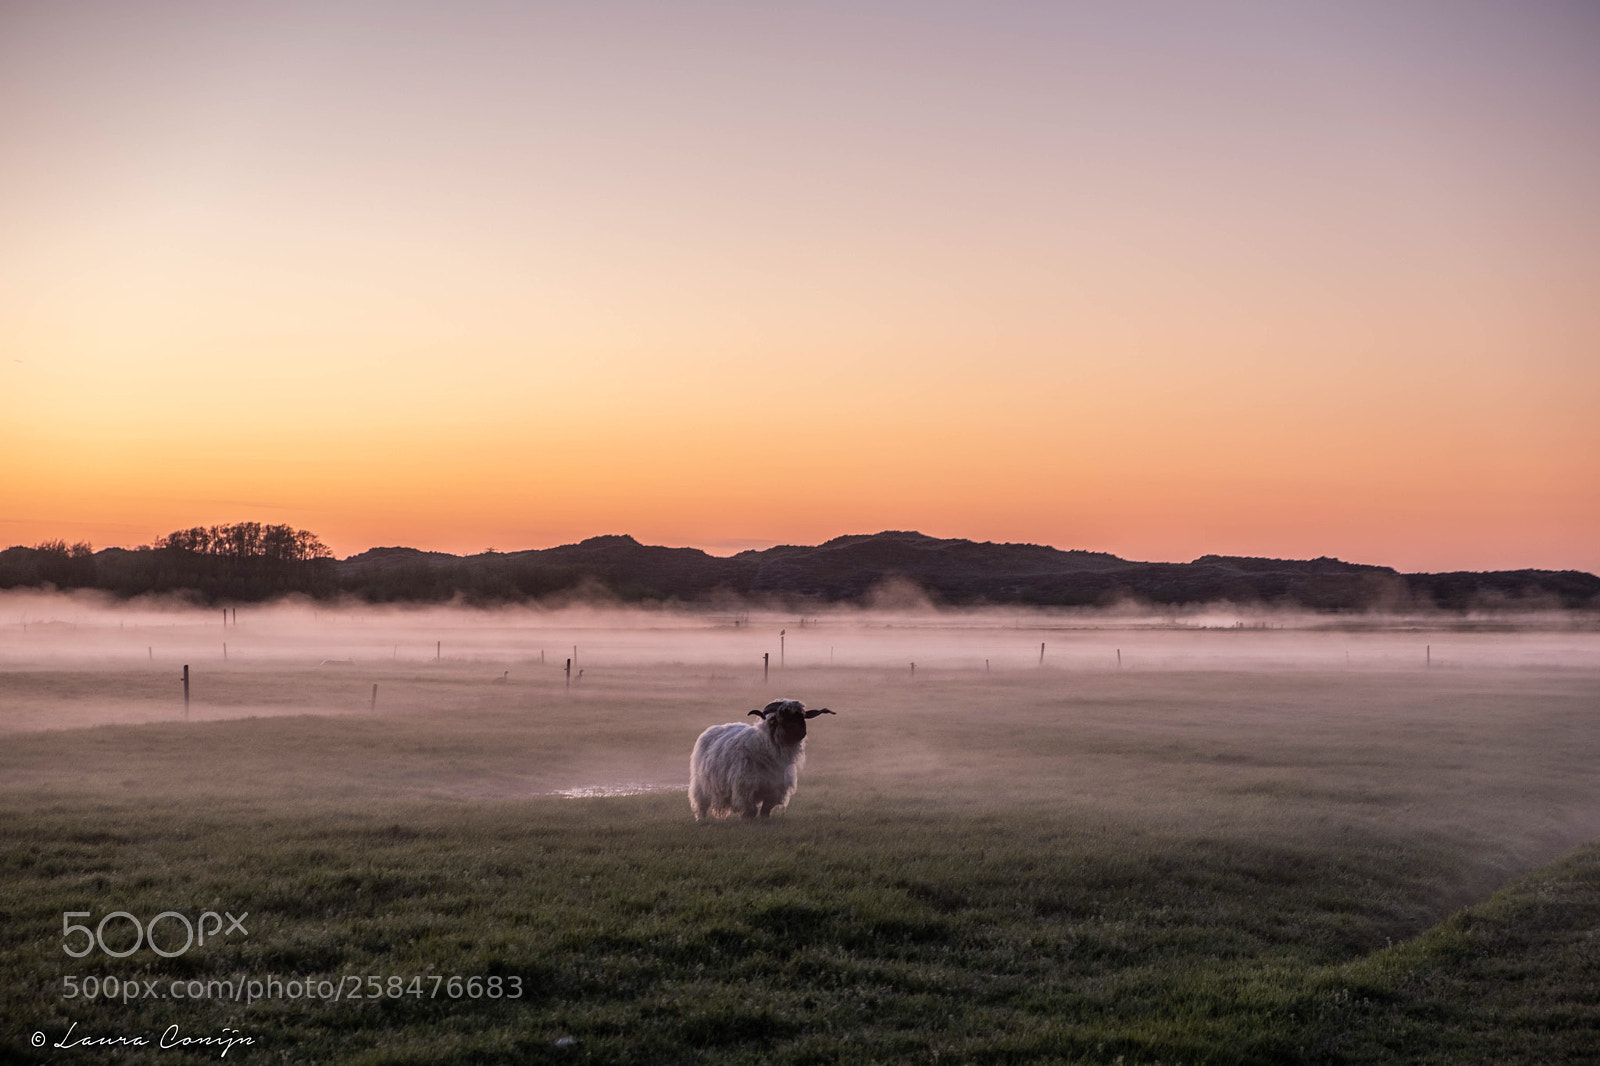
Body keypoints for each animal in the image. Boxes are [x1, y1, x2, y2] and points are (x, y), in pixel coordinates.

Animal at [689, 698, 836, 820]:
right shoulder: (745, 787)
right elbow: (751, 810)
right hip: (702, 783)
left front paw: (764, 820)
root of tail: (715, 727)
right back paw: (701, 819)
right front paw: (747, 820)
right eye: (783, 714)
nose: (800, 732)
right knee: (701, 803)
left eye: (802, 716)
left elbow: (766, 810)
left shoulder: (775, 789)